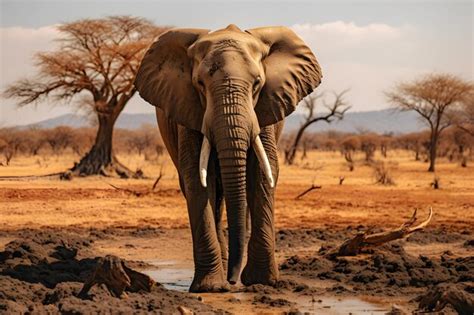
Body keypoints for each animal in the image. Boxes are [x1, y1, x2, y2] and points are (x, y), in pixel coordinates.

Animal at [134, 24, 322, 294]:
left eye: (257, 83)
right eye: (199, 83)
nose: (233, 280)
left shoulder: (264, 109)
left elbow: (263, 173)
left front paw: (262, 282)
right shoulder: (189, 111)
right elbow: (197, 178)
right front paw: (211, 288)